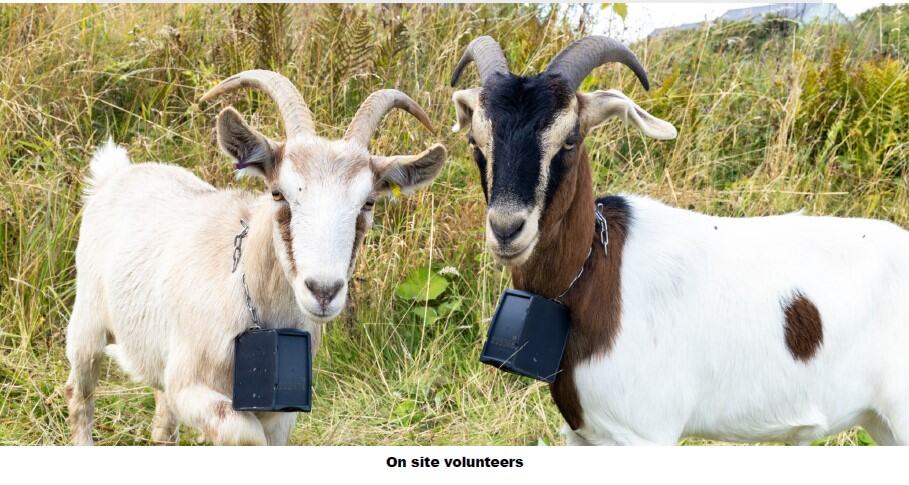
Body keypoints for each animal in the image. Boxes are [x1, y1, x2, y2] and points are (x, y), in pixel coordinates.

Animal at [65, 70, 447, 445]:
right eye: (278, 193)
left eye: (368, 202)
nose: (323, 291)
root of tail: (116, 173)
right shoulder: (190, 385)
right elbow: (243, 433)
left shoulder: (282, 414)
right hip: (87, 326)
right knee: (79, 394)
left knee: (162, 423)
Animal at [451, 35, 909, 445]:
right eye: (476, 141)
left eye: (570, 138)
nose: (507, 228)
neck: (600, 273)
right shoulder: (582, 435)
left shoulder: (645, 433)